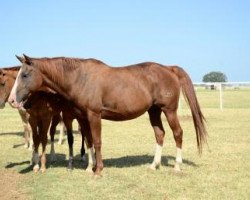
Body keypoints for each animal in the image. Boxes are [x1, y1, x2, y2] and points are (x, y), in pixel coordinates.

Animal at [8, 54, 207, 175]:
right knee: (160, 134)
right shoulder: (83, 117)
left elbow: (97, 141)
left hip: (169, 110)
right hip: (154, 111)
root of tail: (169, 68)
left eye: (25, 75)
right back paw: (153, 165)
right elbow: (89, 141)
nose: (11, 100)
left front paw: (98, 170)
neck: (80, 78)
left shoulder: (94, 115)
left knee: (178, 133)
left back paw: (177, 167)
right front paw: (90, 167)